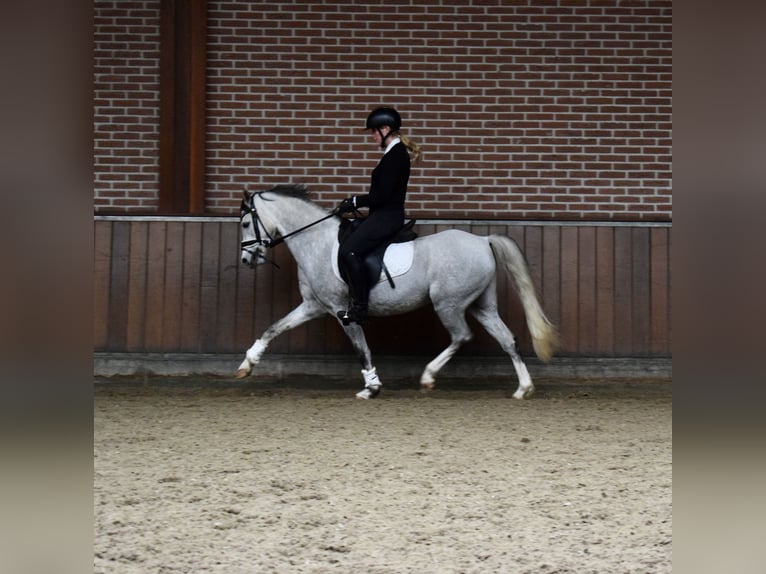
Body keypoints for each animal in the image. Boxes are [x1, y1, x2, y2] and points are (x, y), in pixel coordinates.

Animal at [236, 184, 558, 399]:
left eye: (245, 223)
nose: (247, 260)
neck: (317, 241)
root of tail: (482, 240)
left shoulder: (342, 310)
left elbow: (361, 349)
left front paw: (372, 387)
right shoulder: (314, 306)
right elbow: (274, 327)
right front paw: (247, 364)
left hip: (449, 304)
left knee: (462, 336)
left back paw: (428, 377)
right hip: (481, 305)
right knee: (507, 339)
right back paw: (523, 389)